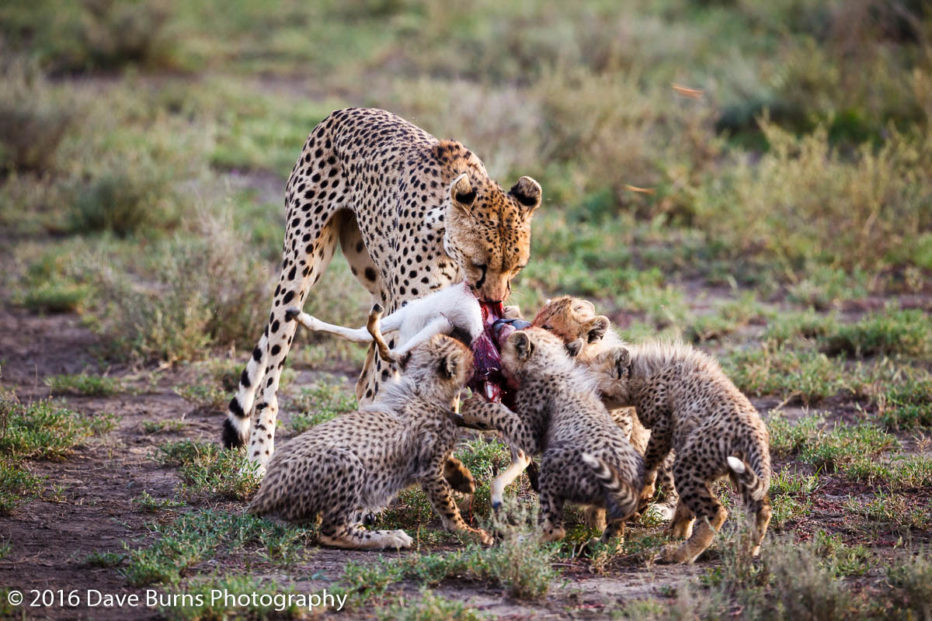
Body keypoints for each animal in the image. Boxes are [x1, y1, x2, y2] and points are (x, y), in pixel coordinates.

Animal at [225, 109, 544, 472]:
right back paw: (258, 459)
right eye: (480, 264)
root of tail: (342, 112)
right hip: (300, 266)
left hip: (375, 281)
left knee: (365, 378)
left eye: (516, 268)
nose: (493, 301)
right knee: (275, 371)